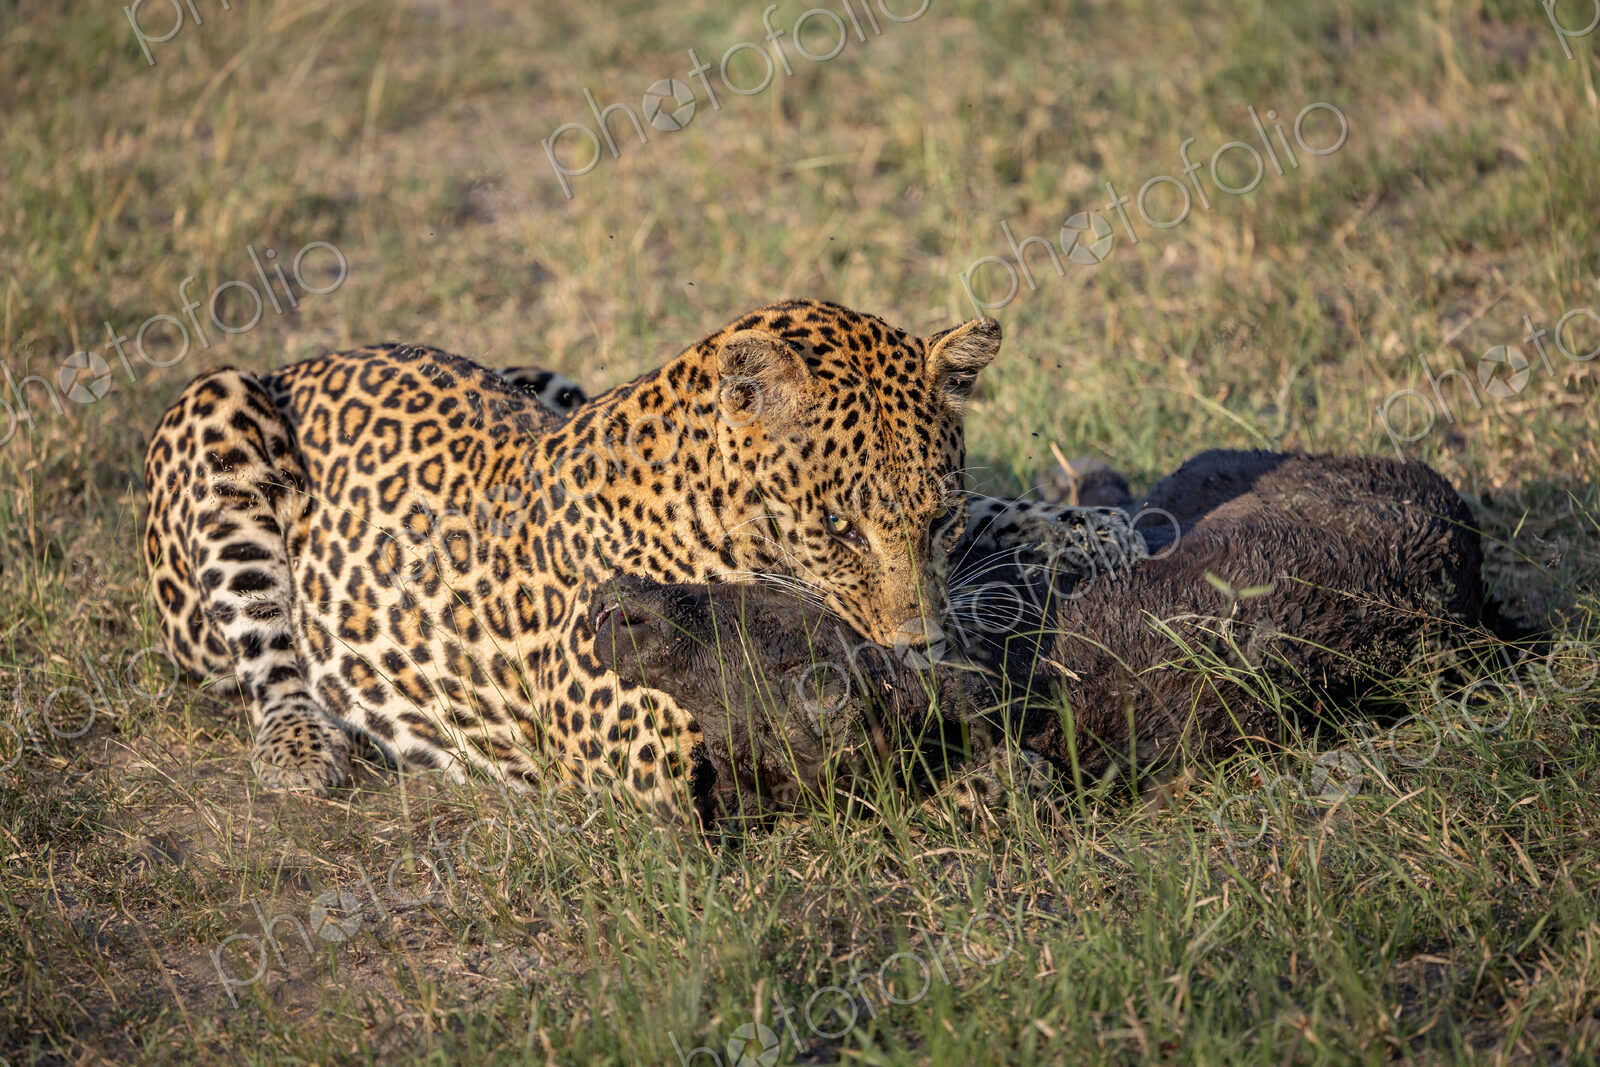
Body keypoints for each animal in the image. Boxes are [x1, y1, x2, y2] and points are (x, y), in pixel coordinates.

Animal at [140, 298, 1090, 823]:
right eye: (840, 528)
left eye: (938, 518)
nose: (919, 647)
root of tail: (303, 360)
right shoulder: (648, 771)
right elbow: (851, 794)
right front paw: (1008, 780)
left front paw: (1083, 522)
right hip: (216, 406)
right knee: (267, 659)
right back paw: (302, 750)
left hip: (542, 375)